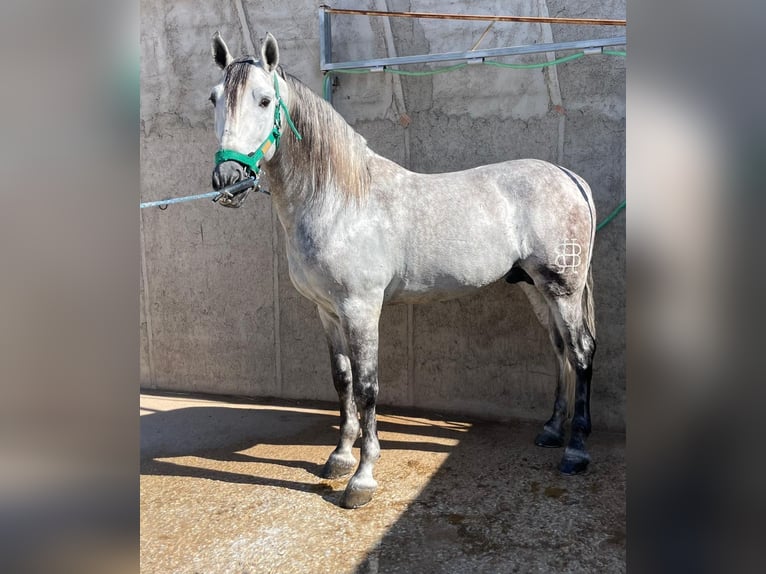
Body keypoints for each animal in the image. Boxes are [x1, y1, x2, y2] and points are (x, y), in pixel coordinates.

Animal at [210, 32, 600, 508]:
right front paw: (339, 458)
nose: (229, 179)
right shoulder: (327, 311)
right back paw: (551, 430)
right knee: (559, 349)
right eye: (214, 98)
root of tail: (568, 177)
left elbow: (367, 387)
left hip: (564, 288)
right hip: (536, 288)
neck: (340, 199)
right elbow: (342, 381)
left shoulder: (360, 309)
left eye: (265, 100)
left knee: (581, 352)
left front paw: (362, 479)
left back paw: (575, 450)